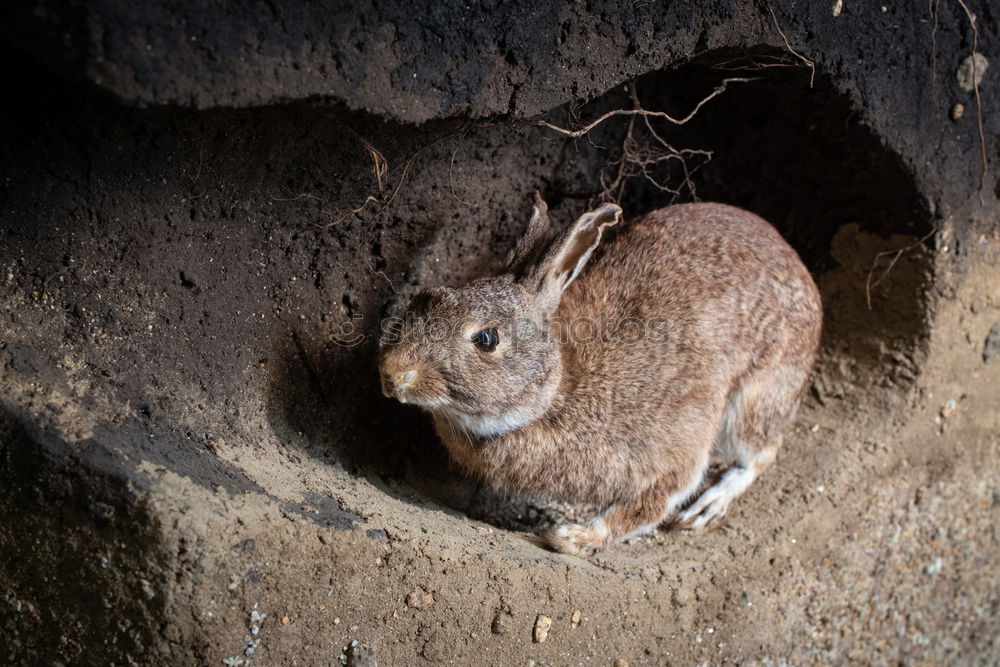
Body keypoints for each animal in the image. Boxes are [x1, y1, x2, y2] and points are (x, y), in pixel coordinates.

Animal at [376, 194, 820, 560]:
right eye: (424, 299)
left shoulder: (676, 445)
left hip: (754, 399)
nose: (392, 373)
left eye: (487, 338)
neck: (556, 390)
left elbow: (652, 502)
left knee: (762, 451)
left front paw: (574, 538)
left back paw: (710, 505)